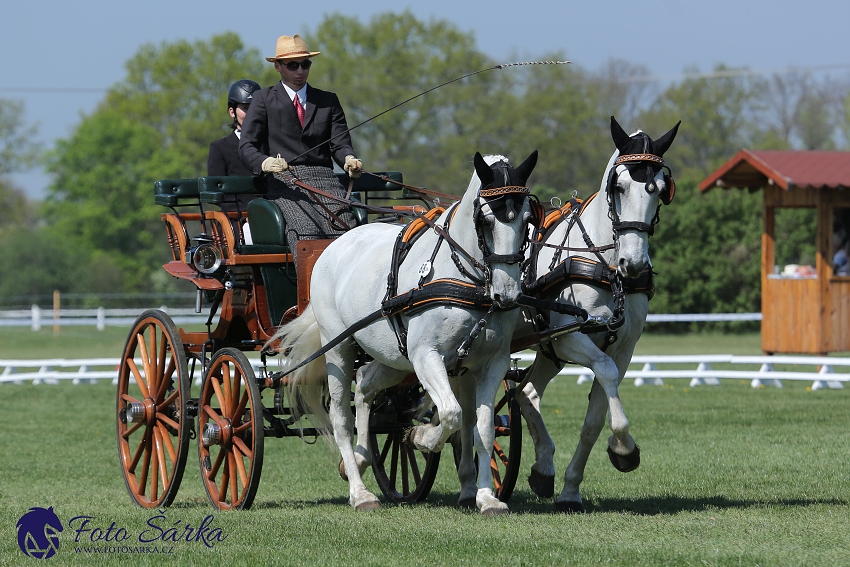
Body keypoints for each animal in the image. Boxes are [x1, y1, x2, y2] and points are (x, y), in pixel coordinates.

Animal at [272, 151, 536, 516]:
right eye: (485, 220)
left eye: (526, 219)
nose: (507, 294)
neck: (464, 279)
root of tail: (335, 246)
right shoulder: (427, 357)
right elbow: (452, 414)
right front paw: (422, 437)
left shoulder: (490, 363)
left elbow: (480, 428)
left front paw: (486, 497)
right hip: (339, 349)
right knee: (341, 418)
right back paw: (360, 492)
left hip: (393, 359)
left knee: (365, 387)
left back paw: (361, 458)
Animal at [512, 117, 680, 512]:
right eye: (619, 186)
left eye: (660, 190)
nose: (634, 264)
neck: (605, 264)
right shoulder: (572, 338)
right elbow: (604, 374)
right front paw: (625, 449)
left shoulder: (623, 349)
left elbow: (595, 417)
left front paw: (571, 489)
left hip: (548, 352)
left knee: (526, 393)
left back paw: (543, 470)